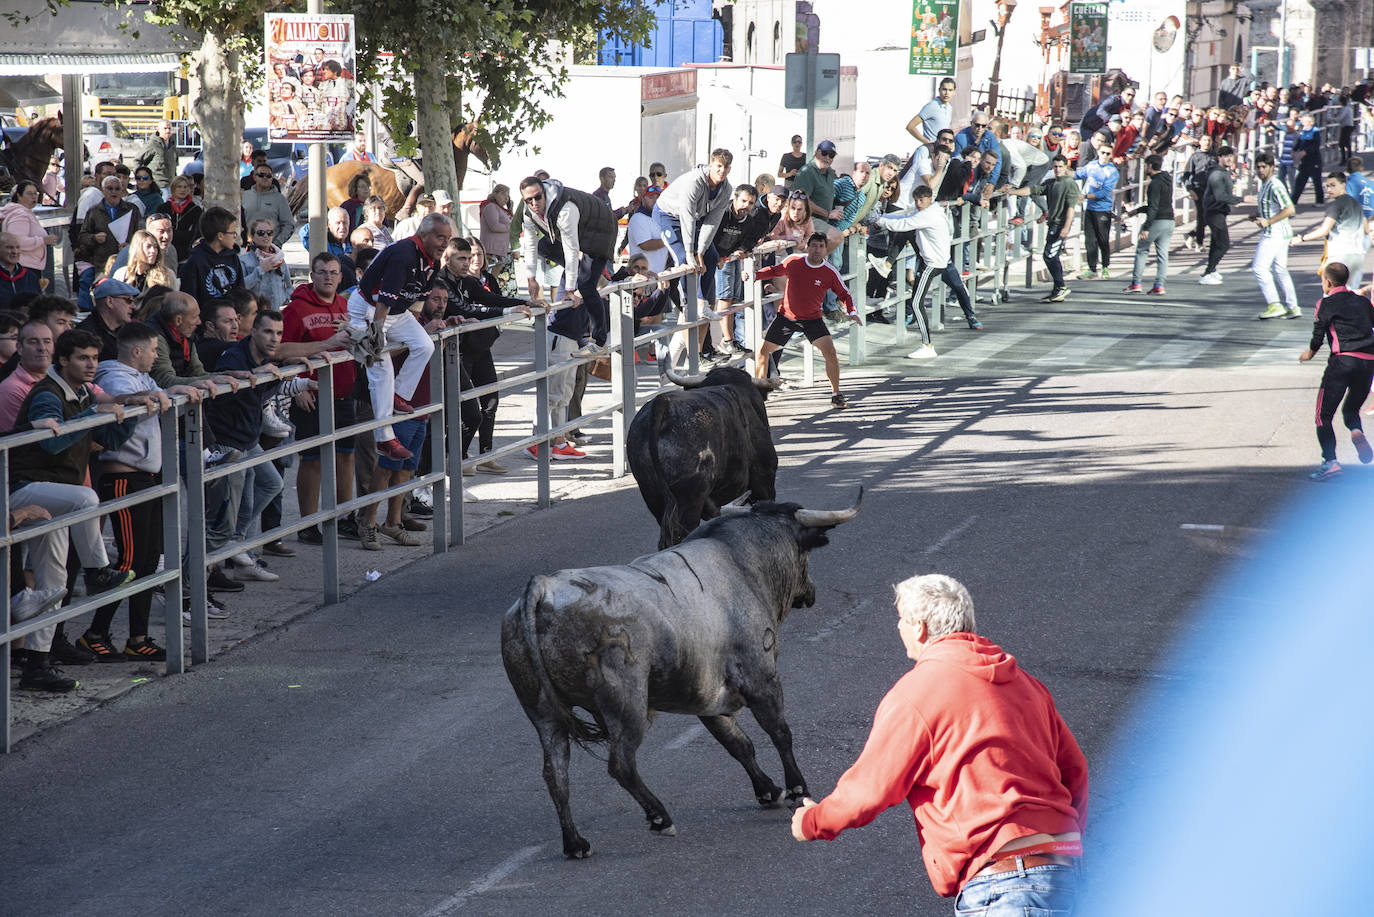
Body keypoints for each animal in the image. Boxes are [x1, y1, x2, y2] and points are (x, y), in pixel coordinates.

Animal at [500, 492, 862, 857]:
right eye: (803, 554)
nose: (811, 592)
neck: (740, 562)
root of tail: (542, 587)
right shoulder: (762, 679)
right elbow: (779, 733)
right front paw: (797, 790)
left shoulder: (705, 694)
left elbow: (738, 743)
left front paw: (768, 791)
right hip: (625, 704)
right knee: (621, 763)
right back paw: (660, 818)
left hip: (543, 713)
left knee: (555, 773)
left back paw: (575, 843)